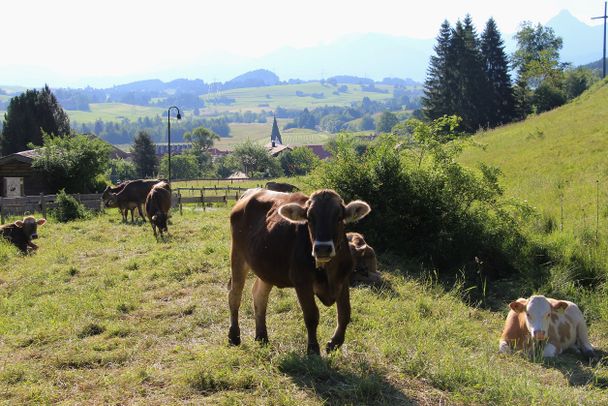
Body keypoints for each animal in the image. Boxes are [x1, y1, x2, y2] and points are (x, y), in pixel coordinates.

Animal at [228, 189, 370, 354]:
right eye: (309, 218)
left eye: (339, 218)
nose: (322, 248)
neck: (328, 271)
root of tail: (251, 192)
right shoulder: (302, 281)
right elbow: (311, 315)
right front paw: (313, 349)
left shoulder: (343, 278)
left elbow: (345, 313)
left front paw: (335, 343)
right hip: (238, 255)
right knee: (235, 295)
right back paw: (234, 336)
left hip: (266, 269)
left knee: (259, 296)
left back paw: (262, 337)